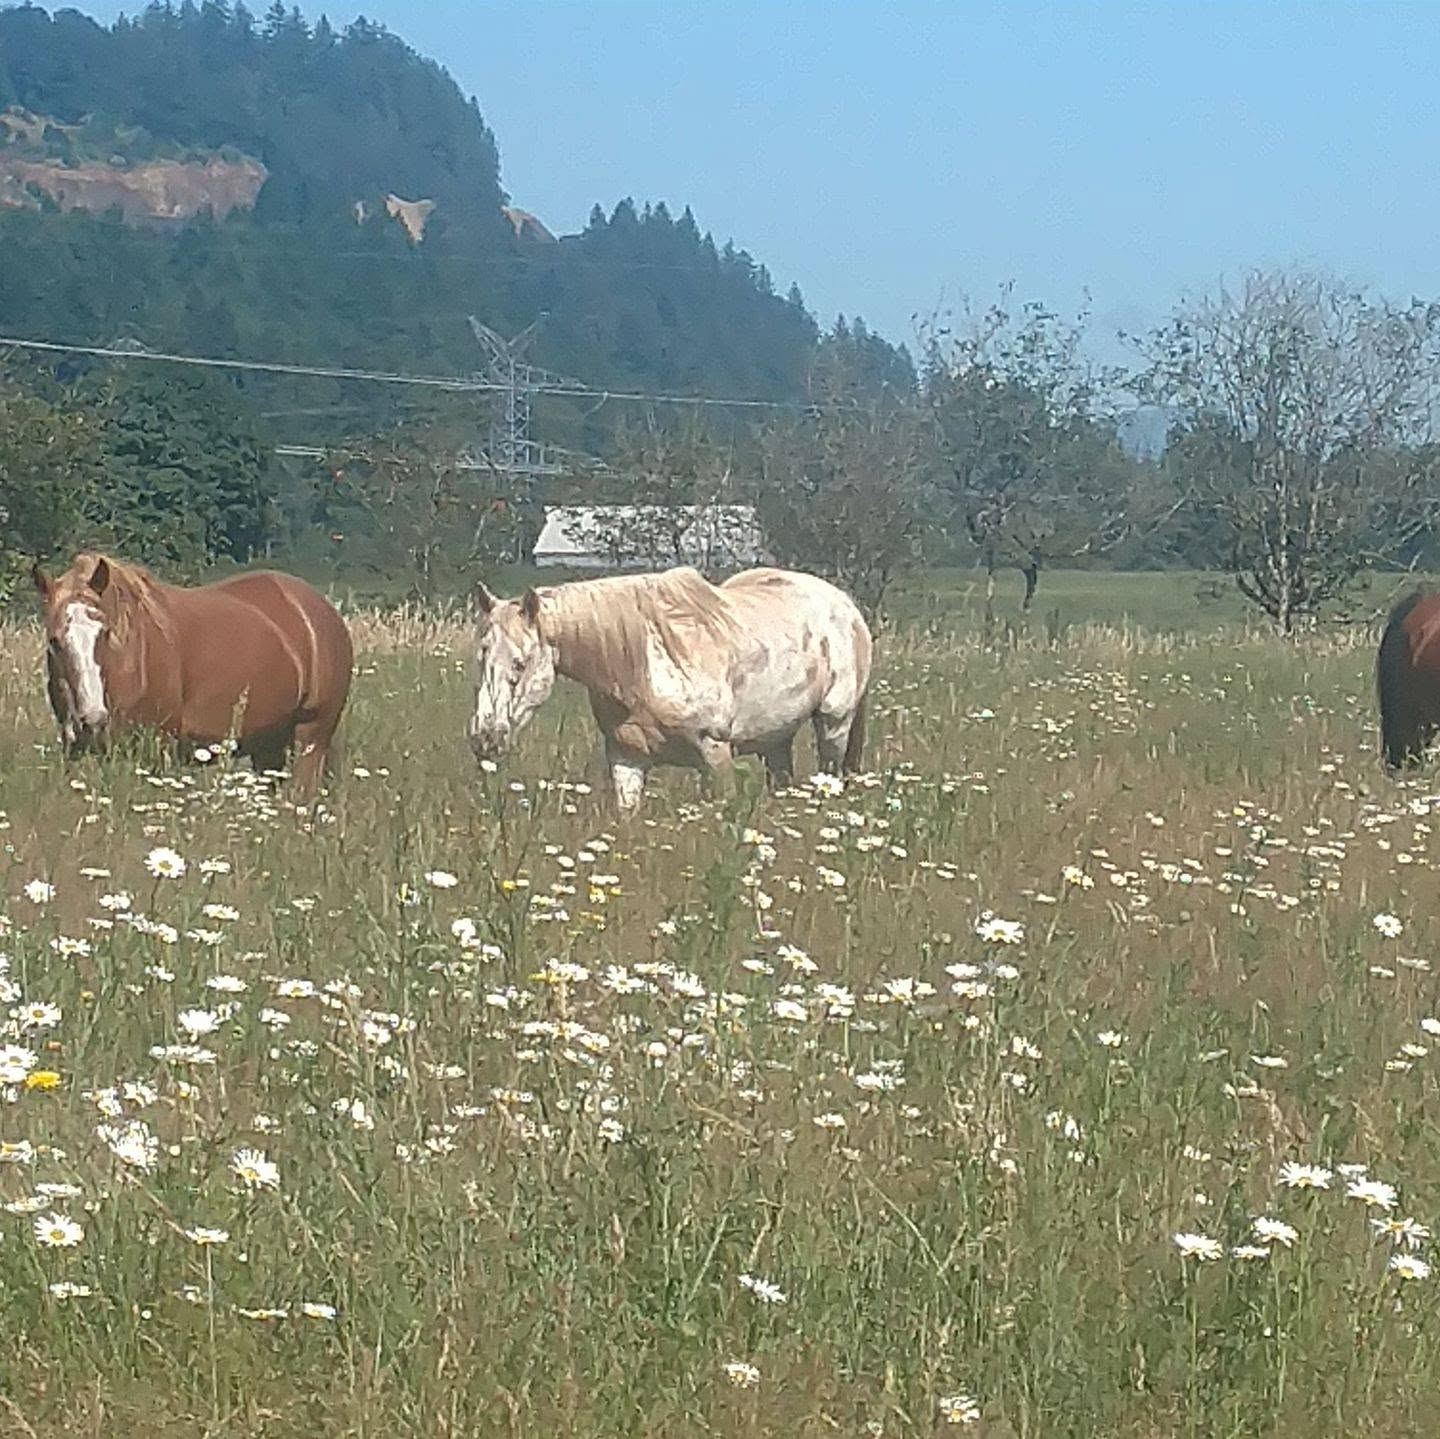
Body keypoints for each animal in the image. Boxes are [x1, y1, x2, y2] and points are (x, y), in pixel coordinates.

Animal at [32, 551, 354, 794]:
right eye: (54, 640)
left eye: (104, 632)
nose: (94, 719)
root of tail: (323, 610)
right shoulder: (75, 751)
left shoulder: (155, 752)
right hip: (270, 745)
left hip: (310, 738)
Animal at [467, 565, 872, 811]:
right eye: (481, 654)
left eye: (520, 663)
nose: (485, 737)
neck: (642, 667)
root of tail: (848, 607)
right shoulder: (626, 760)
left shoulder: (715, 756)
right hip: (776, 739)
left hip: (834, 726)